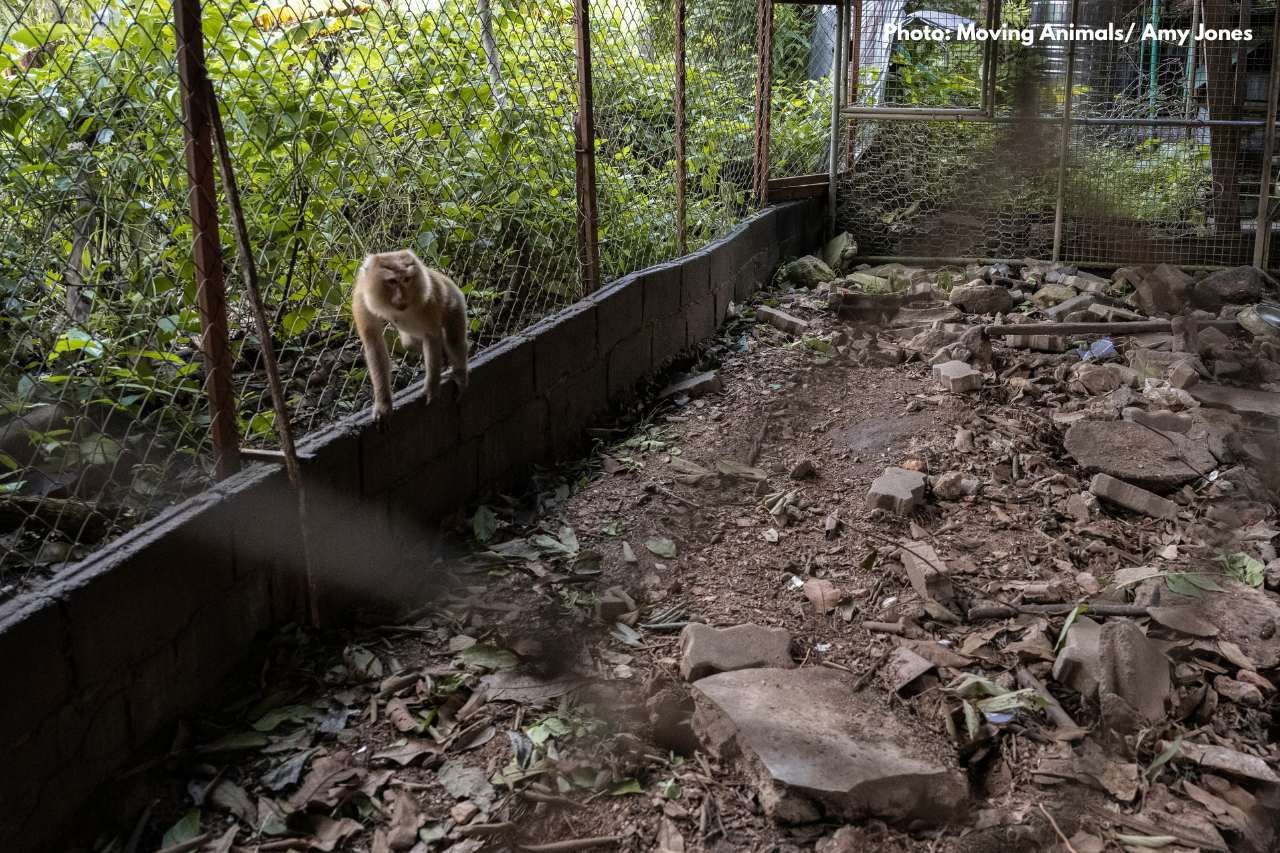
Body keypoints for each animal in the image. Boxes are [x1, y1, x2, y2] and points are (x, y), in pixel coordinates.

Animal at [355, 247, 471, 422]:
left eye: (407, 279)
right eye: (392, 281)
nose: (402, 297)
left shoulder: (427, 297)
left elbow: (432, 335)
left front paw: (431, 387)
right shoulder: (362, 298)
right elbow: (374, 344)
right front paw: (383, 404)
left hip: (454, 300)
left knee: (453, 340)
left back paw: (459, 373)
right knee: (409, 343)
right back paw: (444, 357)